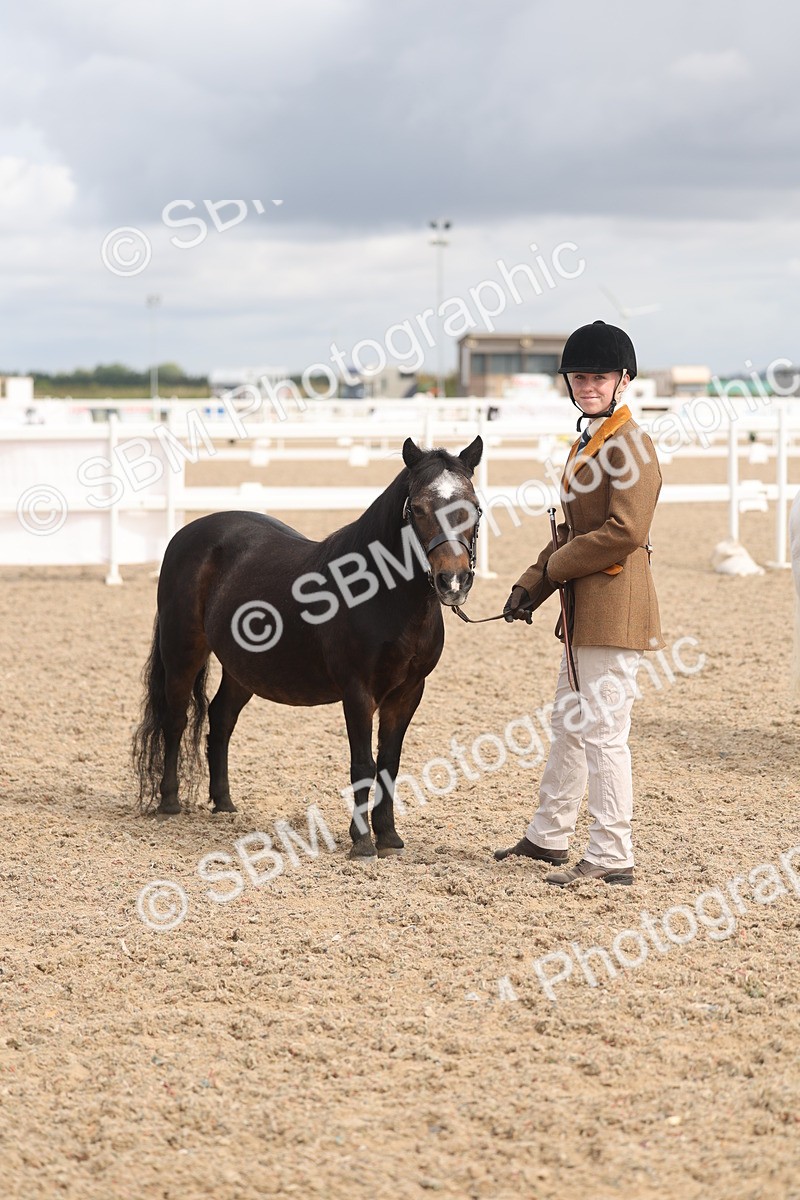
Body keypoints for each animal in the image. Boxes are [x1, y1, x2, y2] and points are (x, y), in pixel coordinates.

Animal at [133, 435, 483, 858]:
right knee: (176, 718)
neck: (382, 594)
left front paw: (389, 837)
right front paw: (362, 842)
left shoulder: (408, 693)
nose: (453, 581)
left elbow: (390, 764)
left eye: (475, 506)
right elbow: (363, 765)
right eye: (417, 508)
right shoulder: (358, 693)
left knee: (221, 718)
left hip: (243, 669)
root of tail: (186, 535)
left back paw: (224, 803)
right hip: (182, 650)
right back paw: (169, 802)